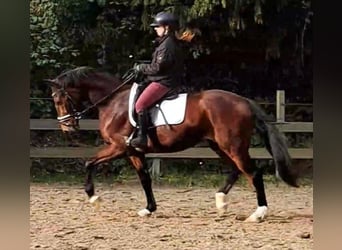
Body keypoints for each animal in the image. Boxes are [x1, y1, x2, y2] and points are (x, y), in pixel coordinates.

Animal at [46, 66, 298, 223]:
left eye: (58, 99)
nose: (67, 128)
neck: (113, 102)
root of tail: (244, 101)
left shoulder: (119, 147)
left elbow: (89, 163)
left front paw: (93, 197)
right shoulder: (133, 151)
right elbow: (145, 179)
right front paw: (148, 209)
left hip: (232, 146)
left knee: (254, 173)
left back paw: (258, 214)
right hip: (219, 145)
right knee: (237, 170)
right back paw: (221, 202)